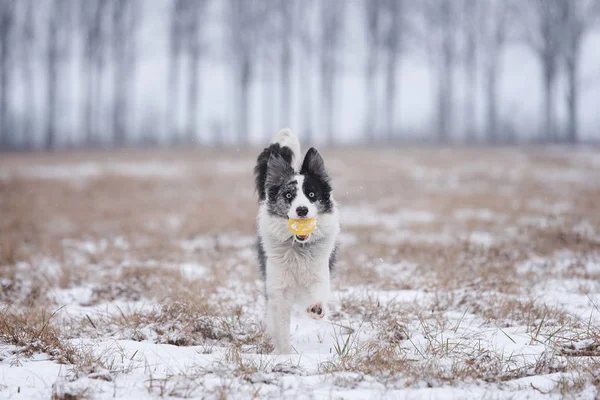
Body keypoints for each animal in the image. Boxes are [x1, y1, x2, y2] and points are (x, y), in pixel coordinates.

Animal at [253, 128, 340, 354]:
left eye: (311, 194)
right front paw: (285, 355)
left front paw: (317, 308)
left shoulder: (319, 273)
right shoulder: (278, 289)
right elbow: (282, 326)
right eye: (288, 195)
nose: (302, 210)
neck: (298, 247)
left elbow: (319, 292)